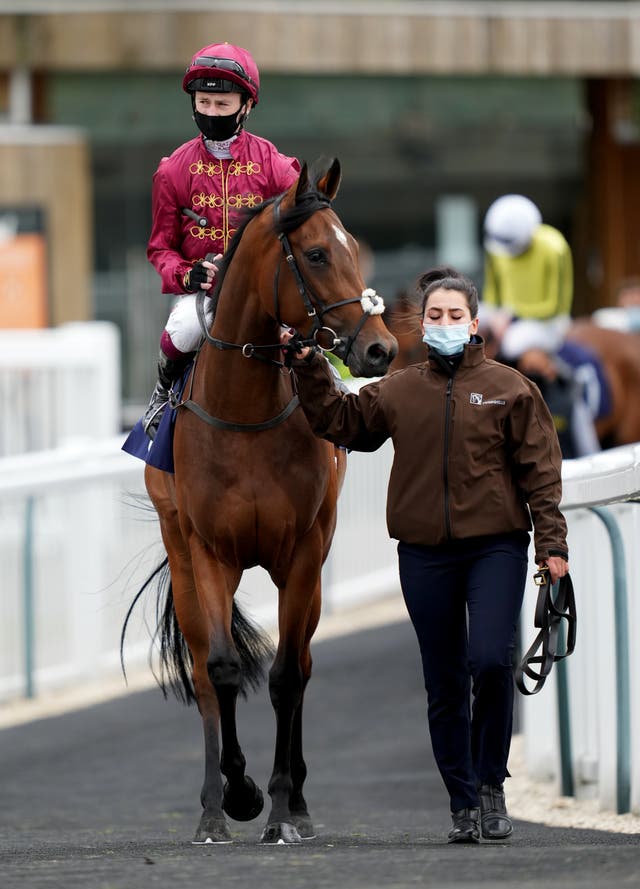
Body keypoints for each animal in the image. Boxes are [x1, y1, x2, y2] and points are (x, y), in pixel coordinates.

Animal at [122, 156, 398, 844]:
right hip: (183, 559)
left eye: (355, 246)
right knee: (201, 670)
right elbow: (221, 669)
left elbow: (286, 675)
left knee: (301, 663)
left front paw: (279, 807)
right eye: (319, 253)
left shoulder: (301, 553)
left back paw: (295, 800)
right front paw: (231, 798)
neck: (244, 414)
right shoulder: (208, 552)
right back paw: (214, 800)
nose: (381, 349)